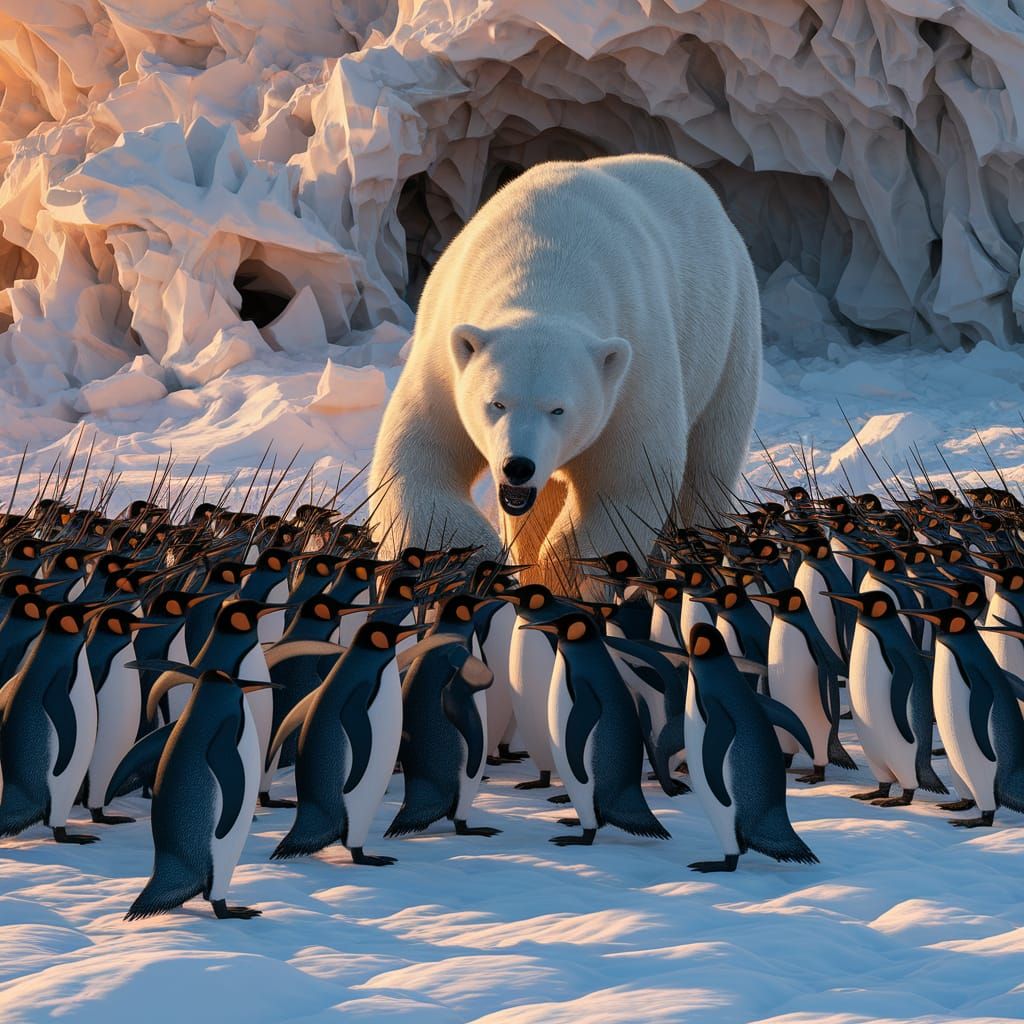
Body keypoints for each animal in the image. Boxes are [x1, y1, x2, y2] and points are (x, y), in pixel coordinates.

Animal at [368, 154, 762, 589]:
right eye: (496, 403)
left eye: (559, 409)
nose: (518, 466)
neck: (546, 268)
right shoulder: (446, 355)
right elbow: (420, 457)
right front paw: (475, 562)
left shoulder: (632, 367)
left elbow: (626, 482)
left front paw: (560, 574)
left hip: (729, 333)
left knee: (710, 463)